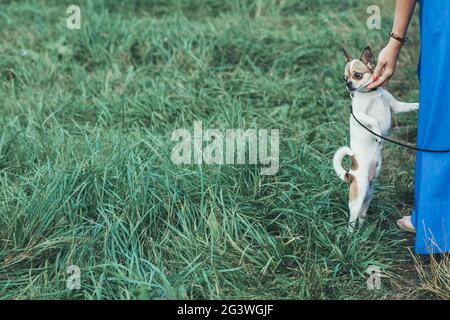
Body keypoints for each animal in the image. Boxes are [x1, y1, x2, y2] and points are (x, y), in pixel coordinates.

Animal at [332, 47, 420, 232]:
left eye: (357, 75)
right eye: (344, 77)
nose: (348, 84)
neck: (371, 94)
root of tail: (350, 175)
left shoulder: (395, 106)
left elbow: (408, 106)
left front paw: (419, 105)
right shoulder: (360, 114)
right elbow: (372, 120)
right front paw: (378, 134)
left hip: (369, 194)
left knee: (361, 215)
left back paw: (363, 230)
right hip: (358, 196)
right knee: (351, 219)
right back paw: (351, 235)